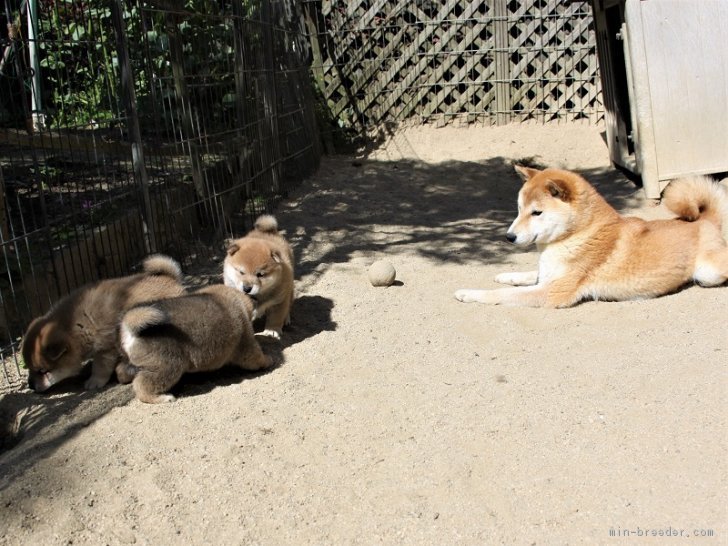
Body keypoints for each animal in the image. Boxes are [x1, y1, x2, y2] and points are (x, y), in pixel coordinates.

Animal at [22, 255, 185, 392]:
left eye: (43, 371)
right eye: (29, 368)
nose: (30, 386)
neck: (73, 326)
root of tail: (170, 278)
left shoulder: (105, 349)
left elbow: (100, 368)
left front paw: (94, 381)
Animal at [119, 282, 272, 402]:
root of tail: (130, 329)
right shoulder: (247, 344)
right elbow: (256, 357)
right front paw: (268, 360)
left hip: (136, 362)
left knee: (123, 372)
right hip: (168, 366)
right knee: (142, 385)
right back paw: (161, 398)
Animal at [456, 165, 728, 306]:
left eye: (537, 213)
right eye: (519, 209)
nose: (509, 237)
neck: (577, 235)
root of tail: (706, 220)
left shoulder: (552, 292)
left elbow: (501, 295)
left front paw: (469, 293)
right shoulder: (547, 275)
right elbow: (527, 275)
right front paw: (506, 275)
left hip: (708, 272)